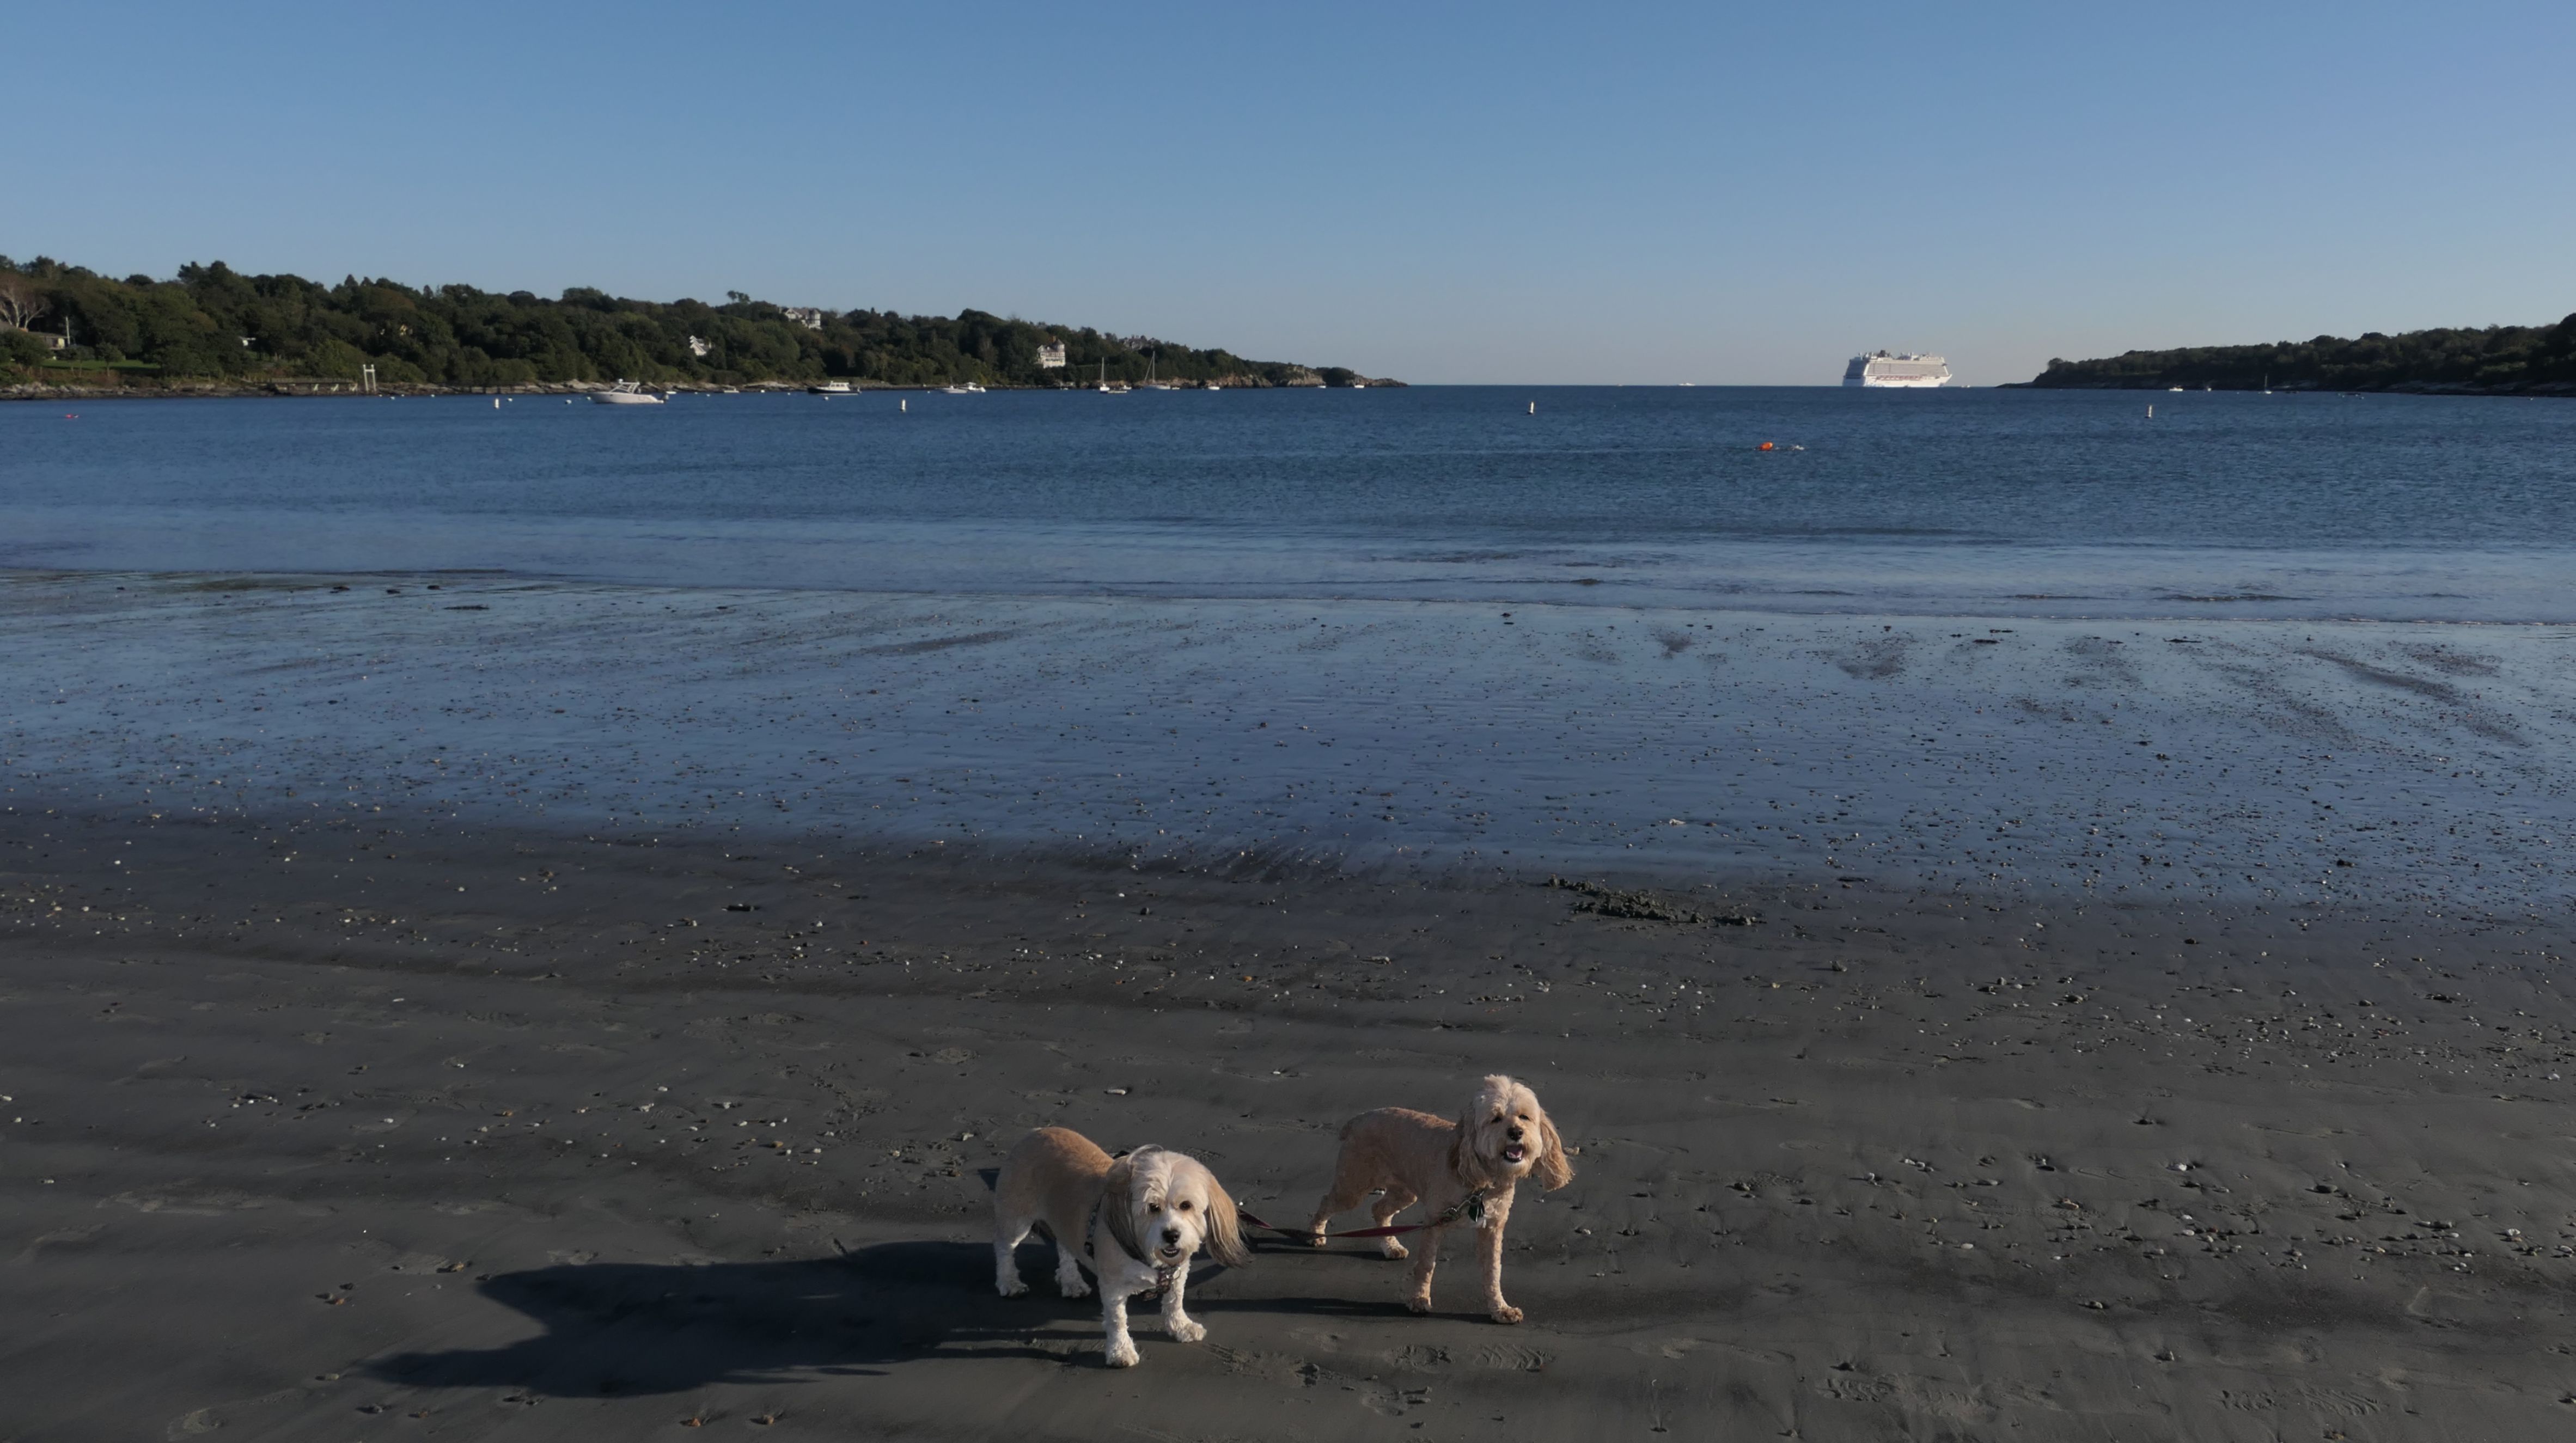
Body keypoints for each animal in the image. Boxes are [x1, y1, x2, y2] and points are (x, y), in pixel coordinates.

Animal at [991, 1126, 1250, 1367]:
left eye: (1186, 1205)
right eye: (1152, 1207)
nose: (1172, 1235)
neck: (1145, 1251)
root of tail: (1037, 1131)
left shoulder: (1178, 1273)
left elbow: (1175, 1301)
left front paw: (1180, 1326)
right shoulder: (1113, 1286)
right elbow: (1117, 1320)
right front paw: (1120, 1351)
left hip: (1062, 1219)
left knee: (1065, 1247)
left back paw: (1072, 1281)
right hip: (1017, 1218)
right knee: (1005, 1249)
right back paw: (1010, 1282)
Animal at [1304, 1074, 1572, 1323]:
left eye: (1524, 1117)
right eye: (1495, 1118)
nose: (1516, 1132)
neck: (1482, 1182)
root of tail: (1360, 1118)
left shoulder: (1493, 1229)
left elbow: (1493, 1272)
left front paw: (1500, 1309)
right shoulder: (1435, 1221)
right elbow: (1426, 1264)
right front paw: (1419, 1299)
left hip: (1404, 1192)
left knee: (1379, 1209)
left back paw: (1390, 1246)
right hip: (1353, 1185)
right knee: (1327, 1201)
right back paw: (1316, 1234)